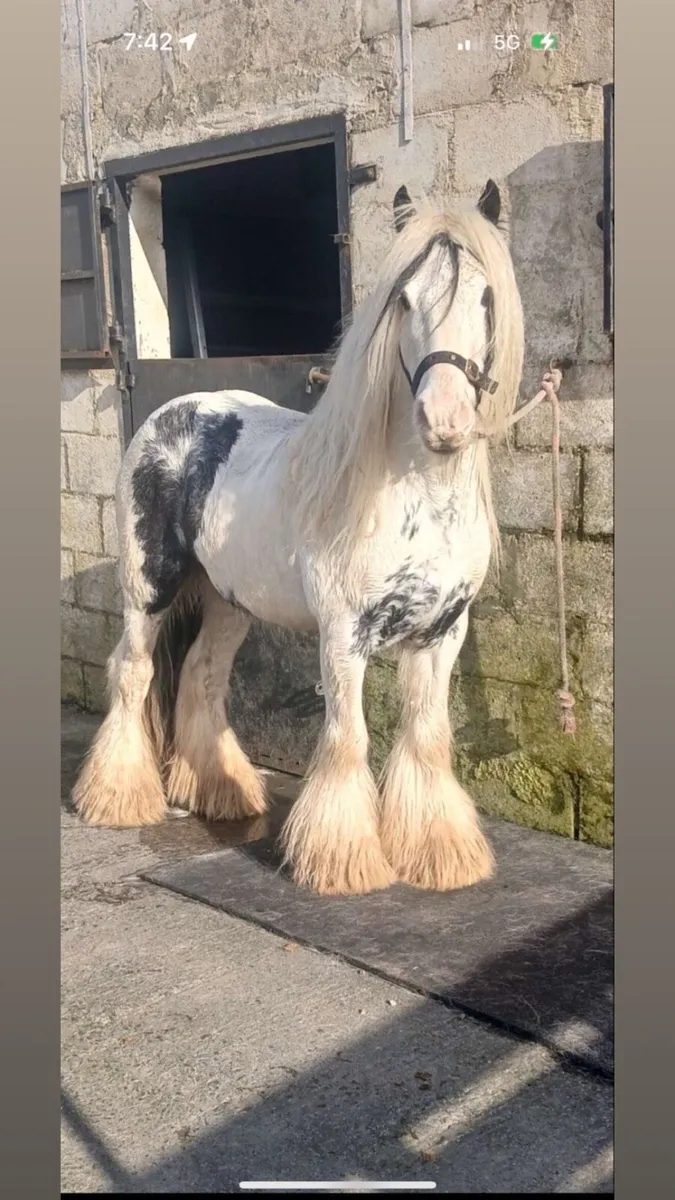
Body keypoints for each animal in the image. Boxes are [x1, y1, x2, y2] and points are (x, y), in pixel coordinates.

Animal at [72, 179, 525, 897]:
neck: (414, 498)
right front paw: (343, 862)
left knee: (202, 675)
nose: (444, 420)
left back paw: (222, 794)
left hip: (229, 602)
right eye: (404, 299)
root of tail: (171, 415)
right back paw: (118, 799)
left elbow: (427, 736)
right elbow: (348, 739)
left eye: (486, 298)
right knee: (133, 673)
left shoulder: (441, 633)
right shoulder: (344, 635)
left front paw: (439, 854)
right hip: (149, 588)